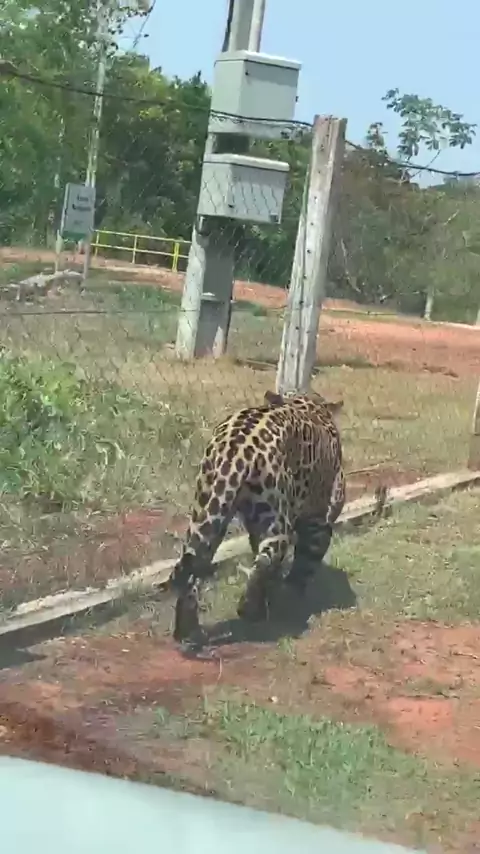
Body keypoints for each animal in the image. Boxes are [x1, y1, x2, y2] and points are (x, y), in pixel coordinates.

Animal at [169, 389, 346, 646]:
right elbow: (304, 562)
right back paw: (250, 609)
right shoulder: (319, 521)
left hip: (208, 511)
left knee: (193, 567)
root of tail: (235, 450)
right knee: (265, 560)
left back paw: (186, 630)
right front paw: (292, 594)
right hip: (276, 520)